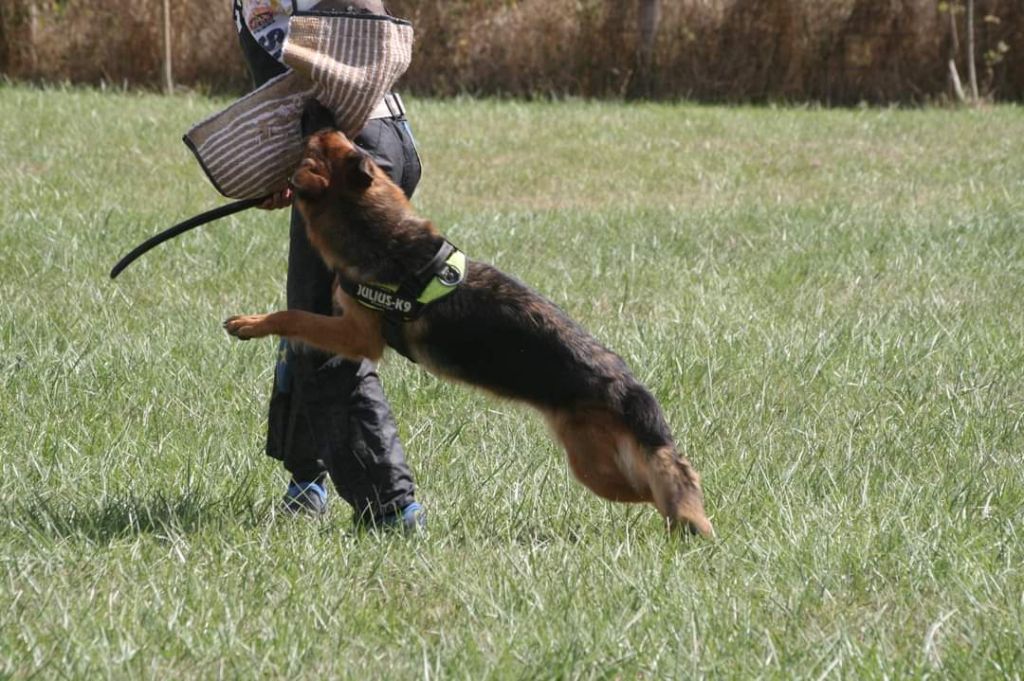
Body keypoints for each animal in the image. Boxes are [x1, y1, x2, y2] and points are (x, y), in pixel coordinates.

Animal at [225, 130, 713, 537]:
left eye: (316, 150)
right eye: (346, 143)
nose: (323, 122)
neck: (380, 230)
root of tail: (629, 387)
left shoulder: (358, 336)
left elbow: (294, 315)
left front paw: (251, 323)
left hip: (594, 469)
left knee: (659, 489)